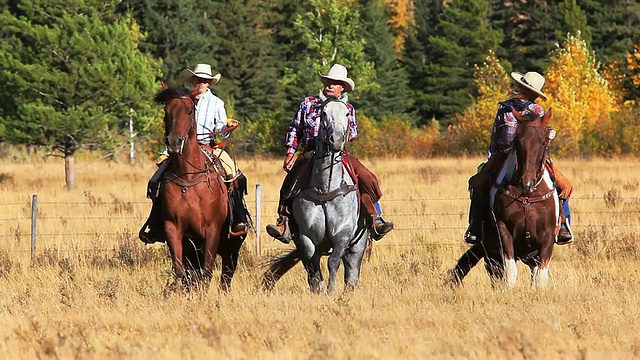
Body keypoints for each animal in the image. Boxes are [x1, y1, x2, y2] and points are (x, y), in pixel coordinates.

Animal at [156, 88, 244, 292]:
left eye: (189, 111)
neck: (188, 177)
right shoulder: (173, 228)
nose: (174, 143)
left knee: (226, 274)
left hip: (232, 246)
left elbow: (207, 271)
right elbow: (180, 272)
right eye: (166, 111)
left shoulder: (212, 230)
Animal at [262, 97, 370, 292]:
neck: (325, 188)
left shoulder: (343, 234)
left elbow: (333, 262)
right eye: (324, 113)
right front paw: (321, 291)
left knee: (351, 276)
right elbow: (314, 271)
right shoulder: (307, 238)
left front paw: (331, 290)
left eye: (347, 113)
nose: (336, 140)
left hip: (357, 247)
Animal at [484, 107, 560, 286]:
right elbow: (510, 272)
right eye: (518, 141)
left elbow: (541, 277)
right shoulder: (503, 230)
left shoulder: (548, 236)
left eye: (543, 142)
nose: (527, 182)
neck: (527, 197)